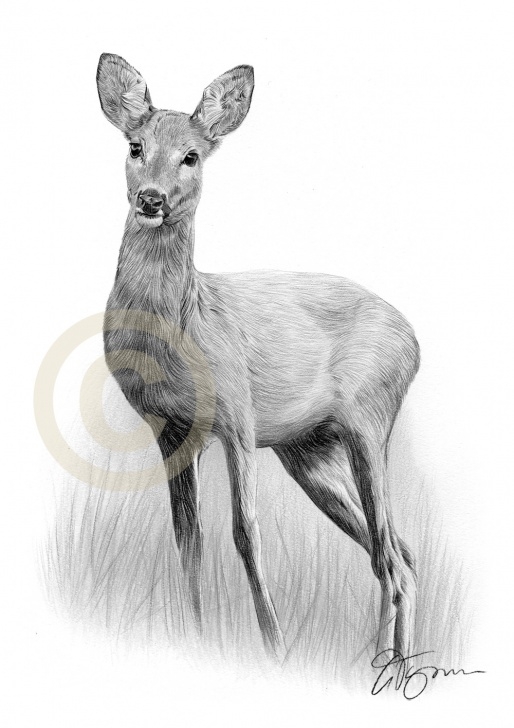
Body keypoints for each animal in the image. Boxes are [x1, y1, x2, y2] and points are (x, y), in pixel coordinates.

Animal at [96, 53, 420, 661]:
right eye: (134, 145)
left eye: (192, 155)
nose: (151, 199)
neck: (184, 324)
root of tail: (414, 341)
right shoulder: (171, 430)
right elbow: (189, 539)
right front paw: (197, 636)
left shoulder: (237, 419)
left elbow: (246, 533)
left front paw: (275, 647)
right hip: (310, 453)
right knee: (399, 554)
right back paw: (389, 663)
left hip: (369, 422)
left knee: (390, 558)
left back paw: (381, 663)